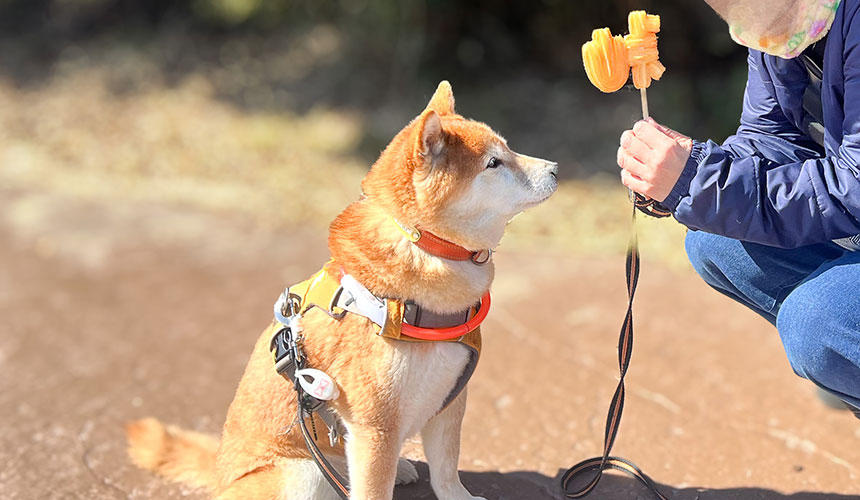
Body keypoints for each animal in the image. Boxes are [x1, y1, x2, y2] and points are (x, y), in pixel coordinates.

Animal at [127, 80, 556, 498]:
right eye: (494, 163)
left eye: (508, 149)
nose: (555, 168)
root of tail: (220, 473)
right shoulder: (375, 424)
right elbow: (376, 490)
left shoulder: (448, 400)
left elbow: (447, 473)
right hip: (300, 474)